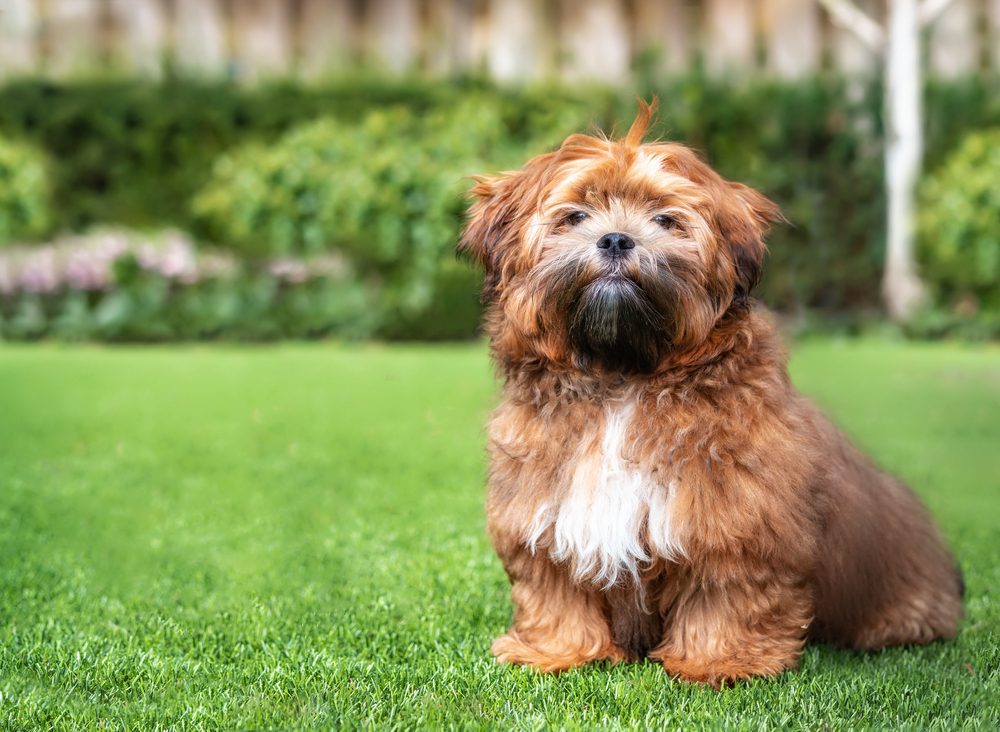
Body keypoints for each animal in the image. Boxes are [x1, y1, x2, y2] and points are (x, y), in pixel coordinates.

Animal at [460, 98, 960, 688]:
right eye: (576, 216)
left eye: (664, 219)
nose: (616, 239)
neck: (622, 380)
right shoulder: (544, 510)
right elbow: (554, 588)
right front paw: (556, 651)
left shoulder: (738, 519)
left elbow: (726, 593)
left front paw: (718, 661)